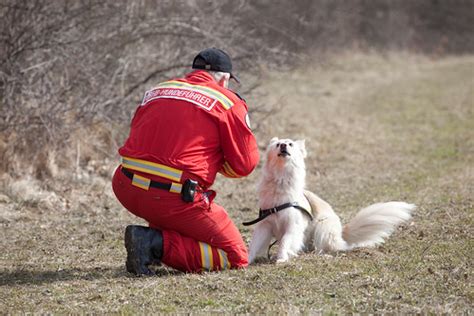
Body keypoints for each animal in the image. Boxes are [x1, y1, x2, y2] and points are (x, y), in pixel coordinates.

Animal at [248, 137, 414, 262]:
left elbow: (285, 242)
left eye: (290, 144)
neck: (280, 180)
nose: (283, 145)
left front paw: (281, 259)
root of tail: (341, 234)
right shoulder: (265, 225)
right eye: (277, 144)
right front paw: (247, 260)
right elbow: (255, 244)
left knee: (329, 248)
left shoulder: (293, 225)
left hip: (323, 226)